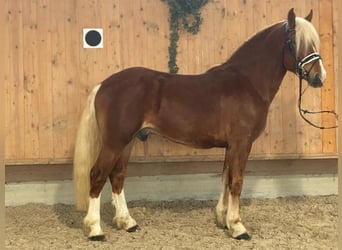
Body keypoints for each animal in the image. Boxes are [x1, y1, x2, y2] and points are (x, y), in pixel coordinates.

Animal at [73, 8, 326, 240]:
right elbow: (236, 181)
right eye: (294, 42)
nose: (319, 77)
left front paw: (223, 220)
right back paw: (95, 229)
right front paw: (238, 227)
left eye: (314, 43)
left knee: (117, 175)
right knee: (97, 174)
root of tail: (104, 85)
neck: (247, 82)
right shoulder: (241, 143)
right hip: (115, 142)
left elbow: (225, 178)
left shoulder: (230, 146)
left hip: (127, 142)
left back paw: (127, 222)